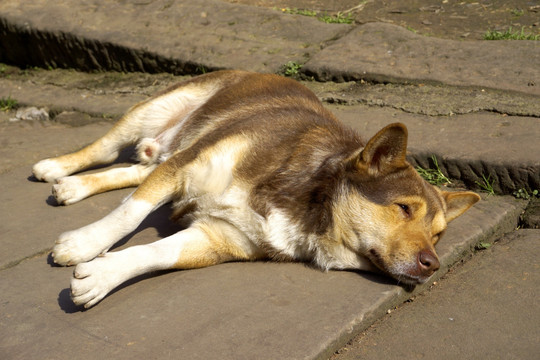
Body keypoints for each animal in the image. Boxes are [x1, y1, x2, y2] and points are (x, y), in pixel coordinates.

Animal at [33, 71, 478, 310]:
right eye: (404, 209)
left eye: (438, 235)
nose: (433, 264)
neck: (309, 201)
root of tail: (266, 71)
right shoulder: (186, 166)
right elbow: (129, 213)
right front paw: (84, 244)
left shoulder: (216, 237)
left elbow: (158, 253)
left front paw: (103, 276)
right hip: (154, 112)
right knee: (105, 149)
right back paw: (56, 167)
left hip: (164, 152)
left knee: (135, 169)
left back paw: (73, 186)